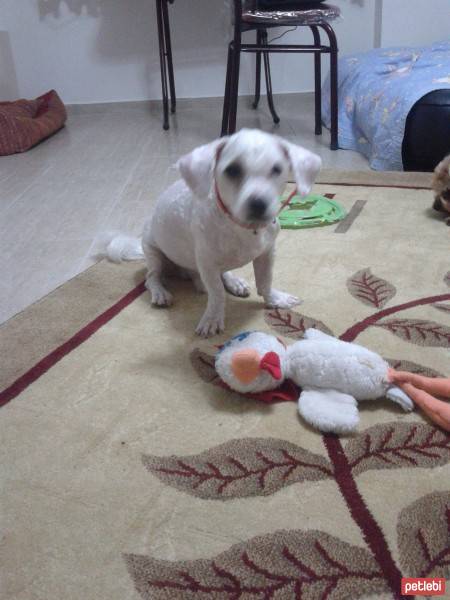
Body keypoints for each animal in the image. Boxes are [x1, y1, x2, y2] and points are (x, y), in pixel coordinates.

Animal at [104, 128, 324, 336]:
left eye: (277, 169)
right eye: (233, 170)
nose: (259, 204)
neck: (242, 227)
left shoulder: (267, 253)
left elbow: (265, 281)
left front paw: (275, 299)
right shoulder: (207, 263)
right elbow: (217, 293)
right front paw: (213, 319)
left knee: (220, 273)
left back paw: (233, 282)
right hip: (154, 253)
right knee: (152, 278)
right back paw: (161, 293)